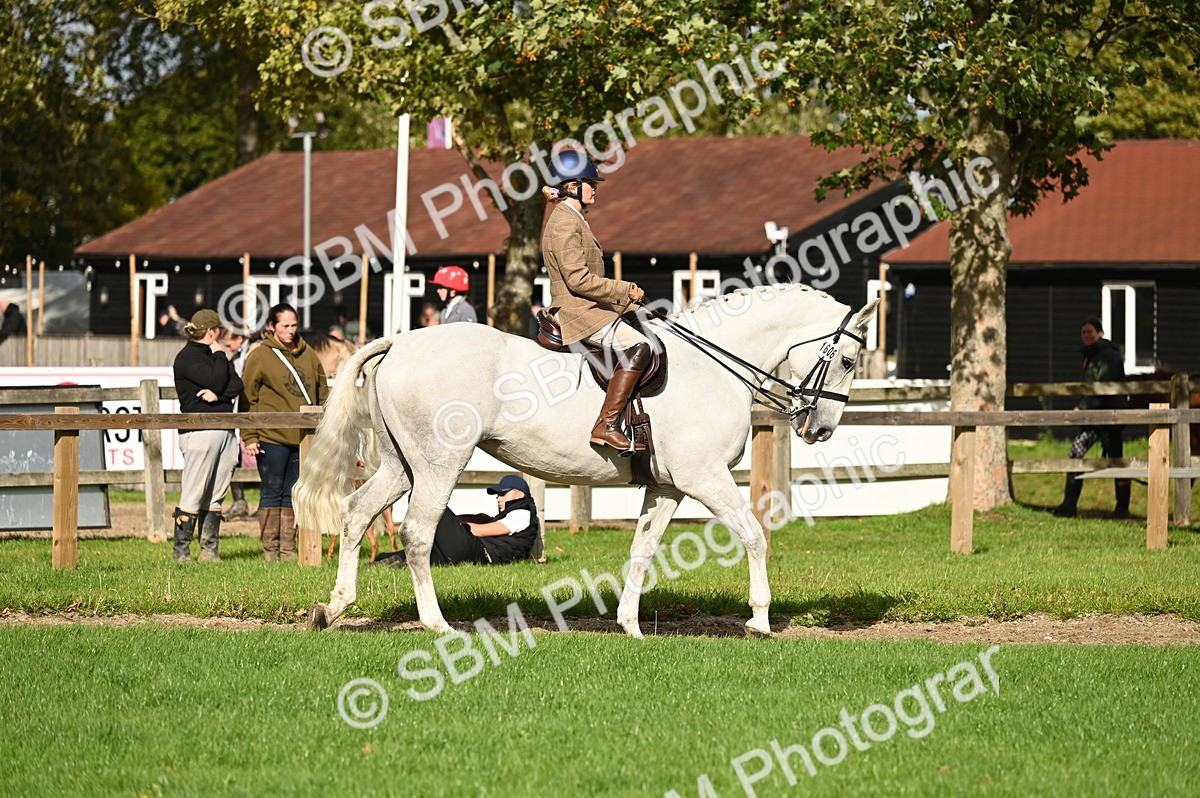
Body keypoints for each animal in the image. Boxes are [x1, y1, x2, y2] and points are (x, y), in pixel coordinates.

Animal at [294, 283, 879, 637]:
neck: (713, 367)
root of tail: (399, 342)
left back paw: (334, 606)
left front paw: (631, 625)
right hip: (439, 465)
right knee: (417, 533)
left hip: (401, 466)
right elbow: (754, 535)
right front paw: (759, 620)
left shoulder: (668, 487)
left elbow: (643, 548)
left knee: (356, 513)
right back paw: (437, 624)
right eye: (851, 359)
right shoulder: (705, 478)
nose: (821, 429)